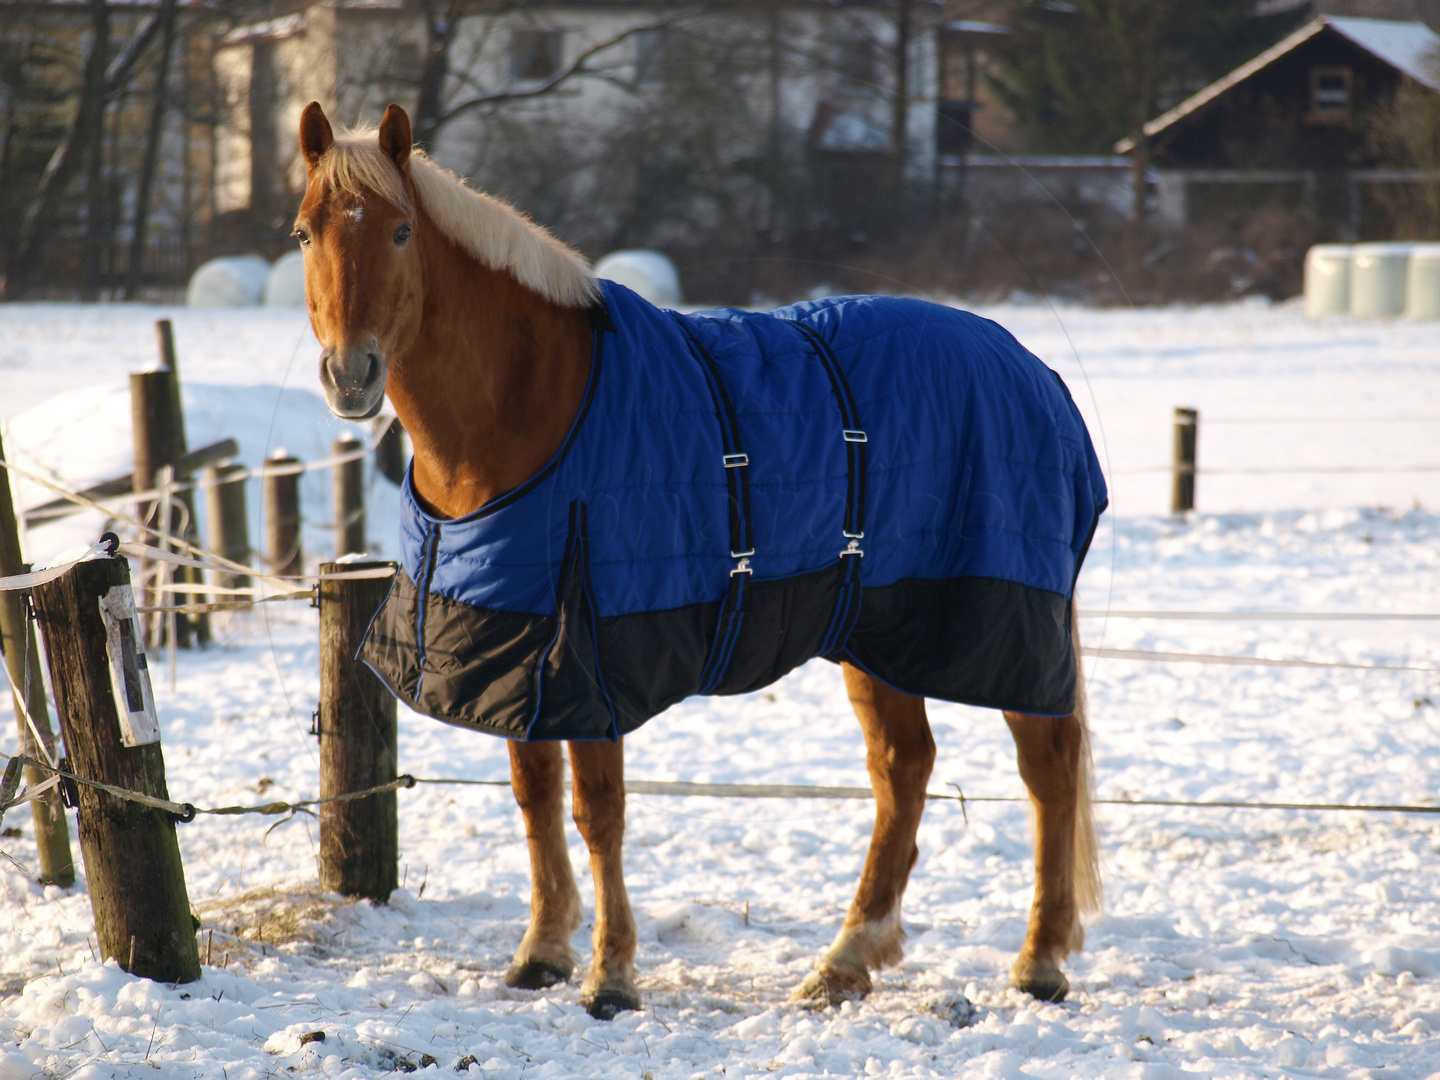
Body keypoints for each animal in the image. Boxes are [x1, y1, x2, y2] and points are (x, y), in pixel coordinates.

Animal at [292, 101, 1100, 1025]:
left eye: (398, 230)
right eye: (305, 232)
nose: (351, 374)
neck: (530, 402)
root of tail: (1032, 369)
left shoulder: (590, 660)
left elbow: (598, 811)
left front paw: (610, 975)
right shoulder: (515, 650)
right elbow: (535, 798)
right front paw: (541, 951)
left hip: (1009, 626)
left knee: (1047, 769)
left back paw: (1039, 962)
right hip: (877, 628)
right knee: (905, 771)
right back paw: (847, 960)